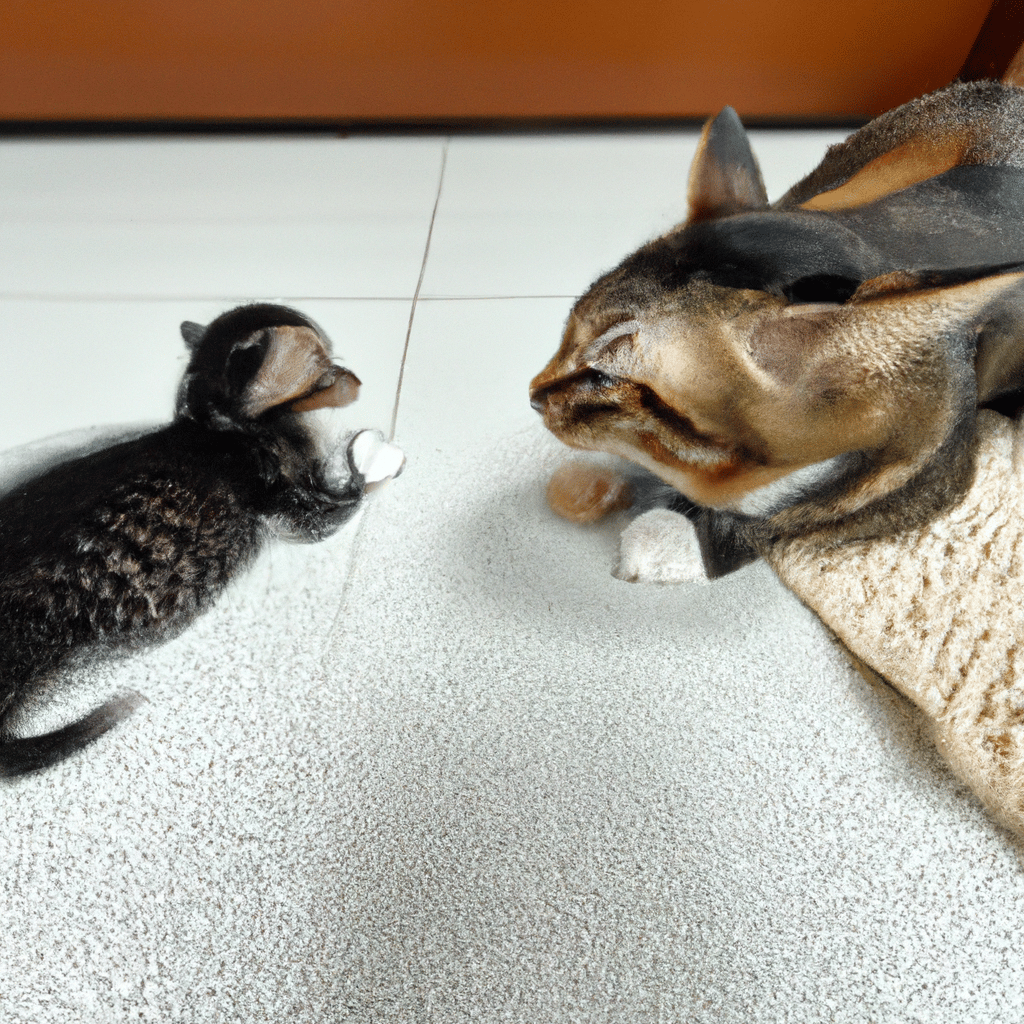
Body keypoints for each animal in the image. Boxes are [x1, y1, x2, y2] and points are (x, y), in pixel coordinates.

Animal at [0, 303, 405, 774]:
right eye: (326, 371)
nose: (356, 379)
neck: (216, 422)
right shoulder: (290, 509)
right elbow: (342, 500)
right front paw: (373, 458)